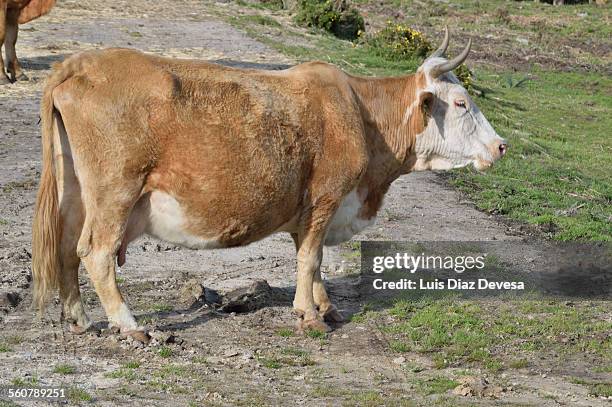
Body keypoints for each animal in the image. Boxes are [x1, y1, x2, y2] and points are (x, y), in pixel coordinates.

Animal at [29, 29, 506, 342]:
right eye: (460, 103)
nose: (501, 145)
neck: (361, 115)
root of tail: (79, 63)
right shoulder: (326, 197)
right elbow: (311, 258)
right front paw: (309, 316)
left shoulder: (309, 210)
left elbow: (310, 258)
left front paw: (326, 307)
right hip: (116, 192)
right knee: (95, 252)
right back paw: (128, 325)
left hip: (76, 191)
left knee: (67, 247)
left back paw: (81, 319)